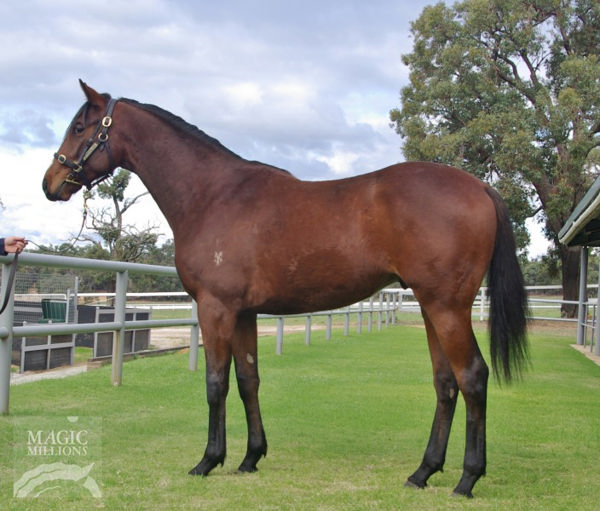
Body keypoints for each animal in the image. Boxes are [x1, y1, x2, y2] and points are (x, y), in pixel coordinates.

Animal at [42, 81, 528, 500]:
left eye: (80, 127)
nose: (50, 183)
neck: (213, 195)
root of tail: (480, 186)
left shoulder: (216, 309)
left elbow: (216, 383)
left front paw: (208, 461)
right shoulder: (243, 312)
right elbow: (248, 380)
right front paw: (250, 458)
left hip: (447, 307)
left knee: (472, 377)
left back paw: (467, 478)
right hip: (431, 307)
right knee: (445, 383)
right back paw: (423, 472)